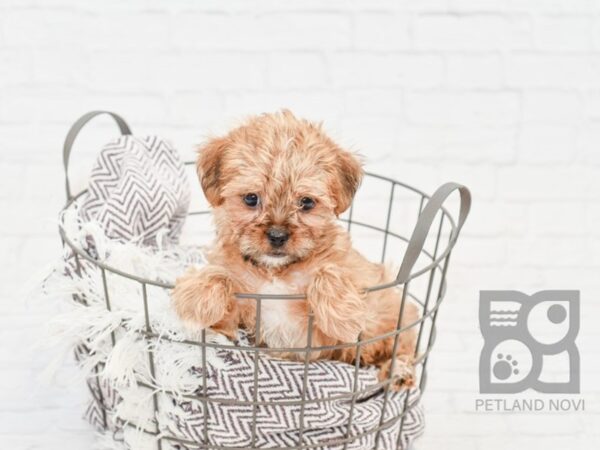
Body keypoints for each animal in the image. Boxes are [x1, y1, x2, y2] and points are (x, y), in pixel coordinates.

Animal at [173, 110, 418, 388]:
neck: (276, 272)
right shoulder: (236, 324)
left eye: (306, 202)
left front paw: (341, 316)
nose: (278, 235)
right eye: (251, 199)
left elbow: (329, 273)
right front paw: (197, 297)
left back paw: (398, 371)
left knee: (404, 346)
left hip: (399, 315)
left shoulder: (358, 309)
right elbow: (220, 277)